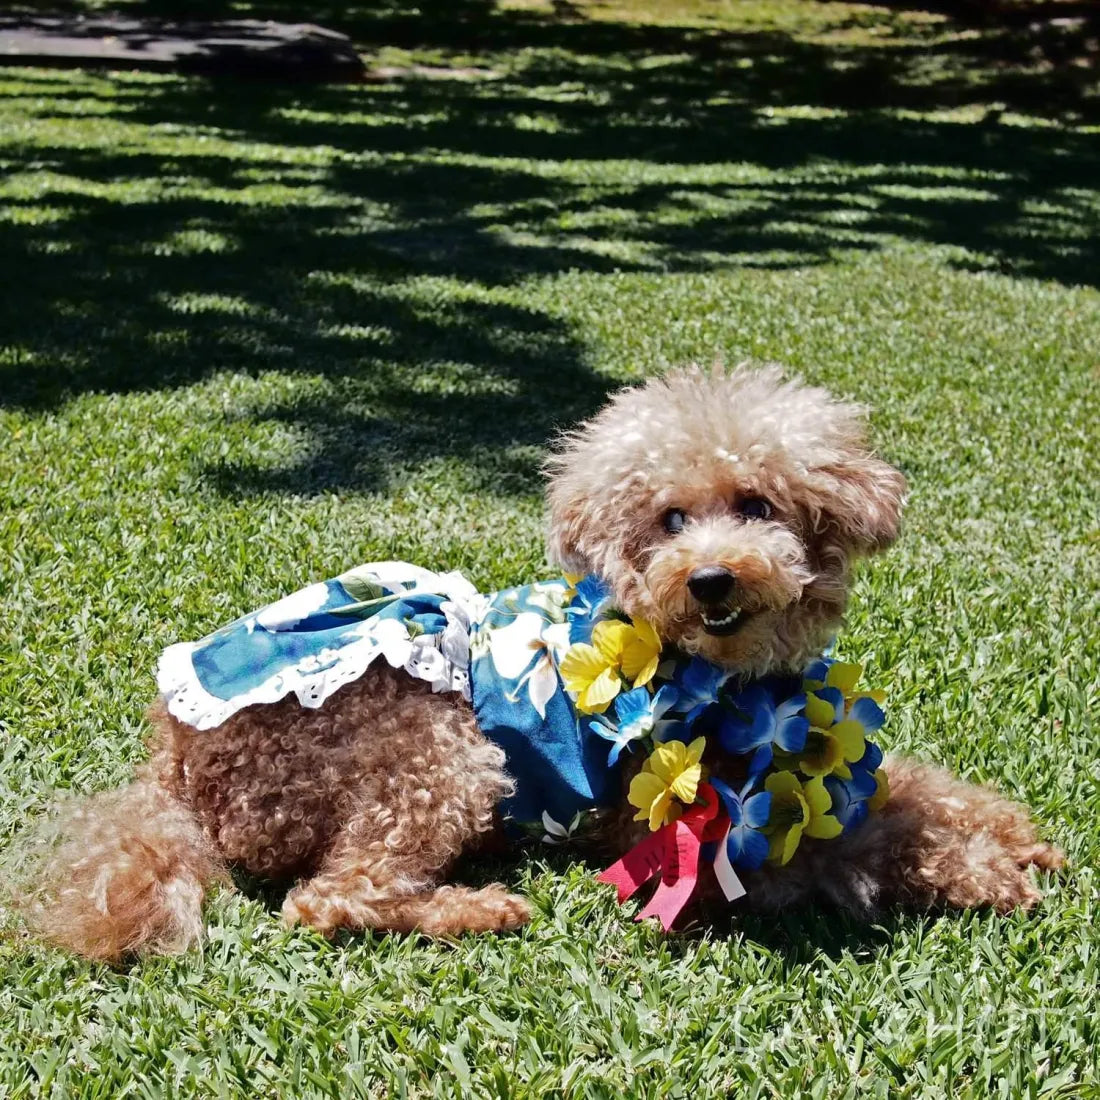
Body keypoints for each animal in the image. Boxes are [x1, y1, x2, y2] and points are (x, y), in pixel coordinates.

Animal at [17, 365, 1060, 959]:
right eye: (667, 519)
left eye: (759, 504)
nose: (710, 579)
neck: (727, 672)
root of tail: (173, 769)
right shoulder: (731, 840)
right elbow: (868, 851)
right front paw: (990, 875)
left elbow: (913, 791)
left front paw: (1016, 834)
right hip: (438, 753)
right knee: (328, 899)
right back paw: (478, 910)